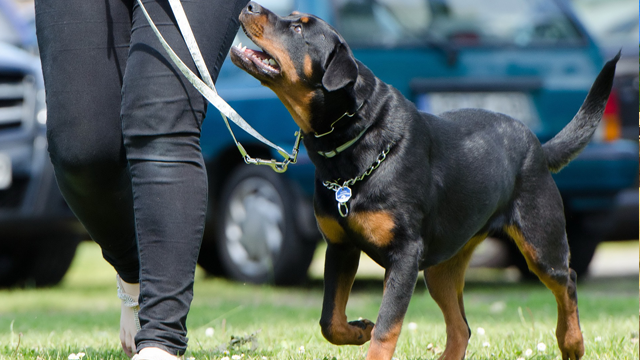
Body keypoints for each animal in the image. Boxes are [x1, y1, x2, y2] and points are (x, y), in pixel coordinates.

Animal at [228, 1, 616, 358]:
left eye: (298, 29)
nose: (250, 5)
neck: (352, 143)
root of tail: (538, 146)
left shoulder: (404, 255)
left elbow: (386, 329)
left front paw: (371, 333)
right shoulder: (340, 246)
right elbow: (330, 321)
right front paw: (358, 329)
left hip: (540, 240)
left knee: (567, 281)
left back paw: (572, 342)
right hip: (442, 267)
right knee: (461, 328)